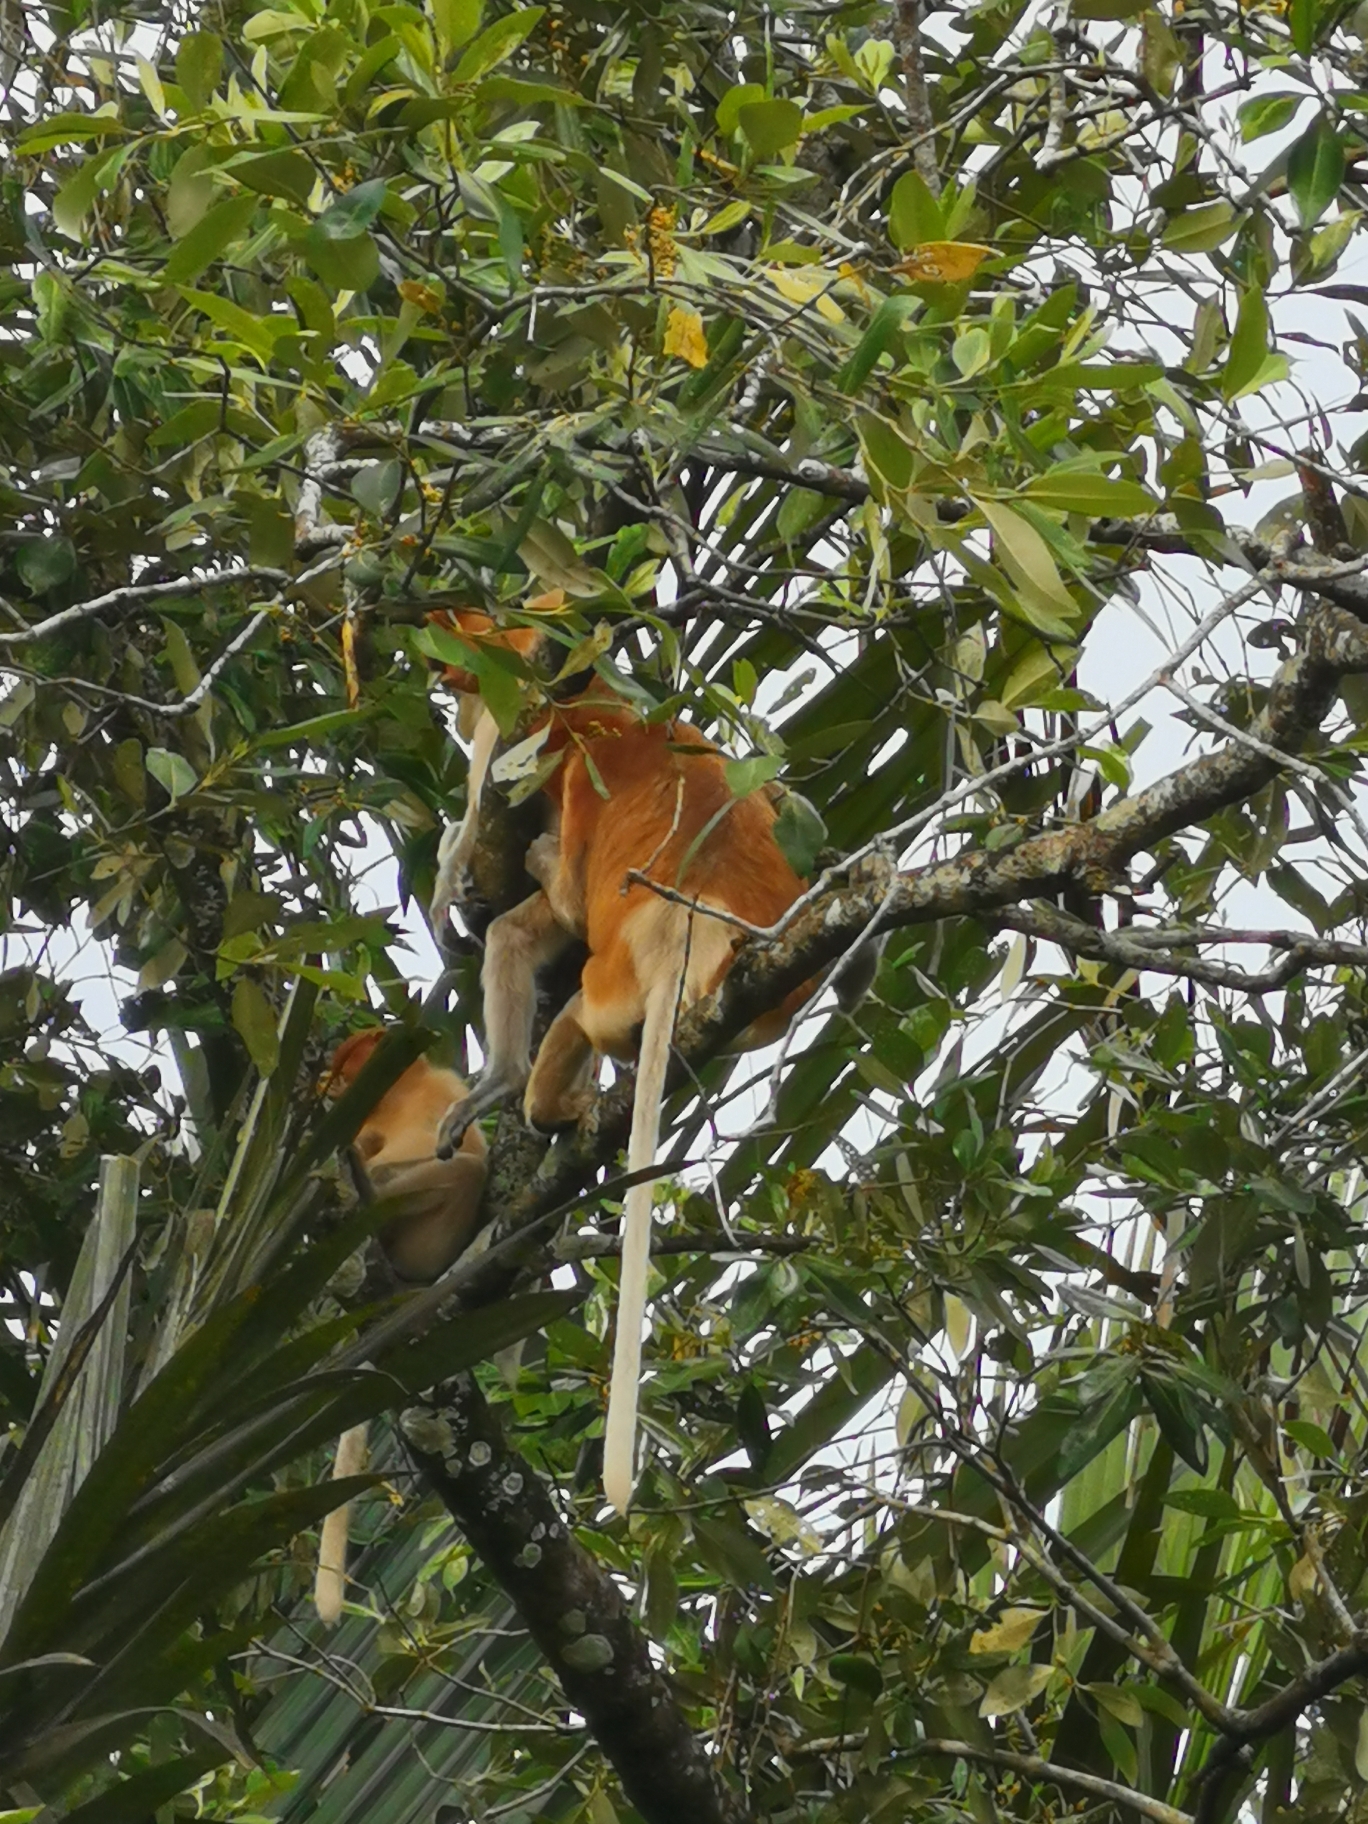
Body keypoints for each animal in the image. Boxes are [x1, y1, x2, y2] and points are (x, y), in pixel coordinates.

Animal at [423, 620, 882, 1517]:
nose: (459, 717)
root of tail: (686, 916)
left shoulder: (545, 753)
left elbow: (545, 876)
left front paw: (476, 873)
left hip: (609, 982)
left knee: (550, 968)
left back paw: (529, 1095)